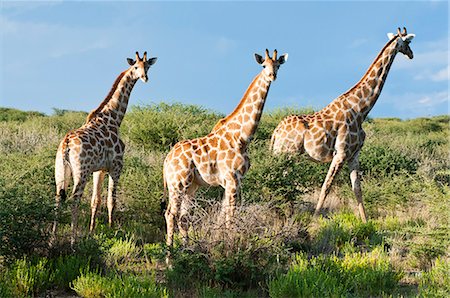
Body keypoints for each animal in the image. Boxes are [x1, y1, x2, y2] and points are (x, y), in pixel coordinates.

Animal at [52, 51, 156, 247]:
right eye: (135, 67)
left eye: (147, 66)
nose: (145, 78)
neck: (114, 118)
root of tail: (66, 144)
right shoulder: (116, 166)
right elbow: (111, 200)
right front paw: (111, 230)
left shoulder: (98, 169)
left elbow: (96, 200)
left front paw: (92, 232)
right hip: (81, 171)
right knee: (74, 200)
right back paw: (73, 242)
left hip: (61, 171)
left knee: (57, 199)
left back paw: (52, 241)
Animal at [163, 49, 286, 251]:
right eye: (263, 65)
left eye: (278, 65)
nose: (272, 76)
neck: (242, 137)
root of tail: (166, 160)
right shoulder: (232, 178)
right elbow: (230, 216)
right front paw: (230, 245)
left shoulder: (233, 181)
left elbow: (223, 214)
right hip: (177, 183)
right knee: (171, 214)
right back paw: (169, 254)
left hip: (192, 186)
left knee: (184, 217)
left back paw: (186, 250)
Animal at [270, 28, 414, 222]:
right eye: (409, 42)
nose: (412, 54)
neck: (361, 109)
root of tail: (276, 132)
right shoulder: (341, 153)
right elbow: (326, 186)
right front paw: (315, 220)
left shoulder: (354, 155)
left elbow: (357, 189)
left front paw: (365, 221)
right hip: (287, 154)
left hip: (283, 155)